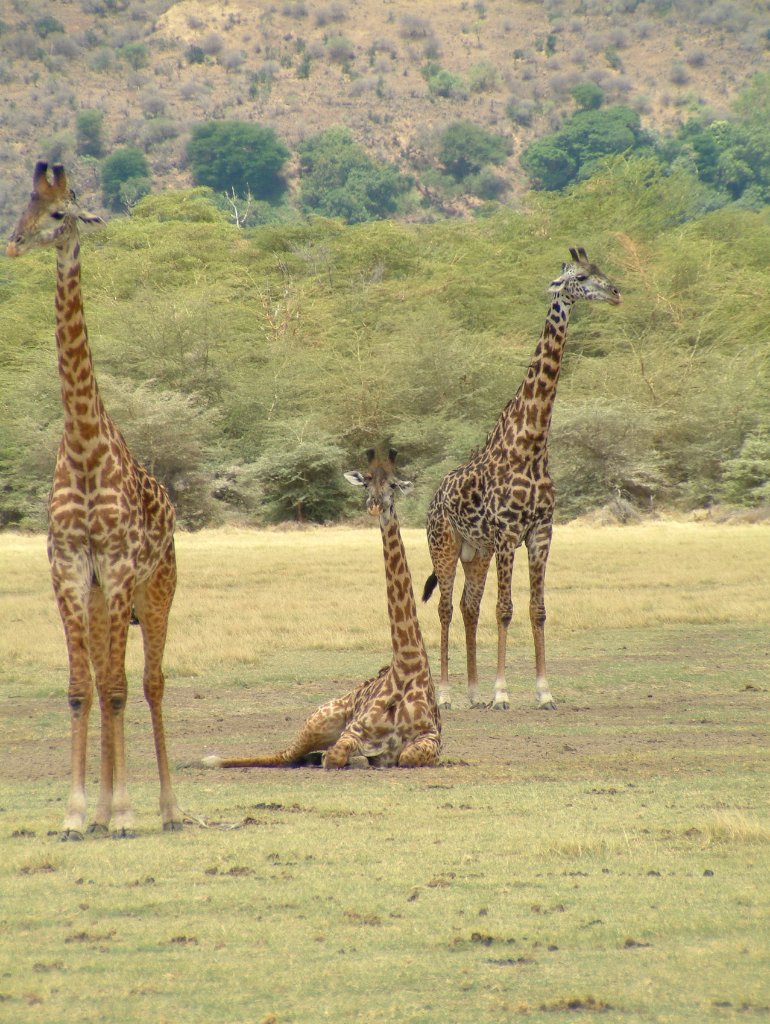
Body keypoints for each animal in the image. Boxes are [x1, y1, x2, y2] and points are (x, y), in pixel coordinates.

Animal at [7, 163, 183, 839]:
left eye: (60, 214)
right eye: (22, 205)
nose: (13, 244)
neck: (83, 446)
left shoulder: (121, 562)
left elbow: (116, 689)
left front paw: (127, 812)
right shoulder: (70, 566)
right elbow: (83, 688)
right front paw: (78, 813)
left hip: (156, 587)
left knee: (151, 683)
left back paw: (168, 809)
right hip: (111, 594)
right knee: (116, 679)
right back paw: (107, 812)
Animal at [201, 448, 442, 770]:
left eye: (393, 484)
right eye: (366, 482)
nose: (374, 505)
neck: (407, 666)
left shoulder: (432, 739)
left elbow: (405, 755)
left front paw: (366, 759)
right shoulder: (354, 730)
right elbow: (338, 755)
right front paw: (354, 758)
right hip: (319, 719)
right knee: (284, 754)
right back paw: (214, 759)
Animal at [423, 247, 622, 712]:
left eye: (602, 271)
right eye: (581, 277)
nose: (617, 293)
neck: (531, 444)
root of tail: (433, 499)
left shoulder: (541, 532)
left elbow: (537, 609)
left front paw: (544, 692)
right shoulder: (508, 532)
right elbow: (506, 609)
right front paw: (502, 693)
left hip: (476, 552)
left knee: (468, 605)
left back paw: (473, 693)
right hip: (445, 545)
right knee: (445, 608)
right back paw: (445, 695)